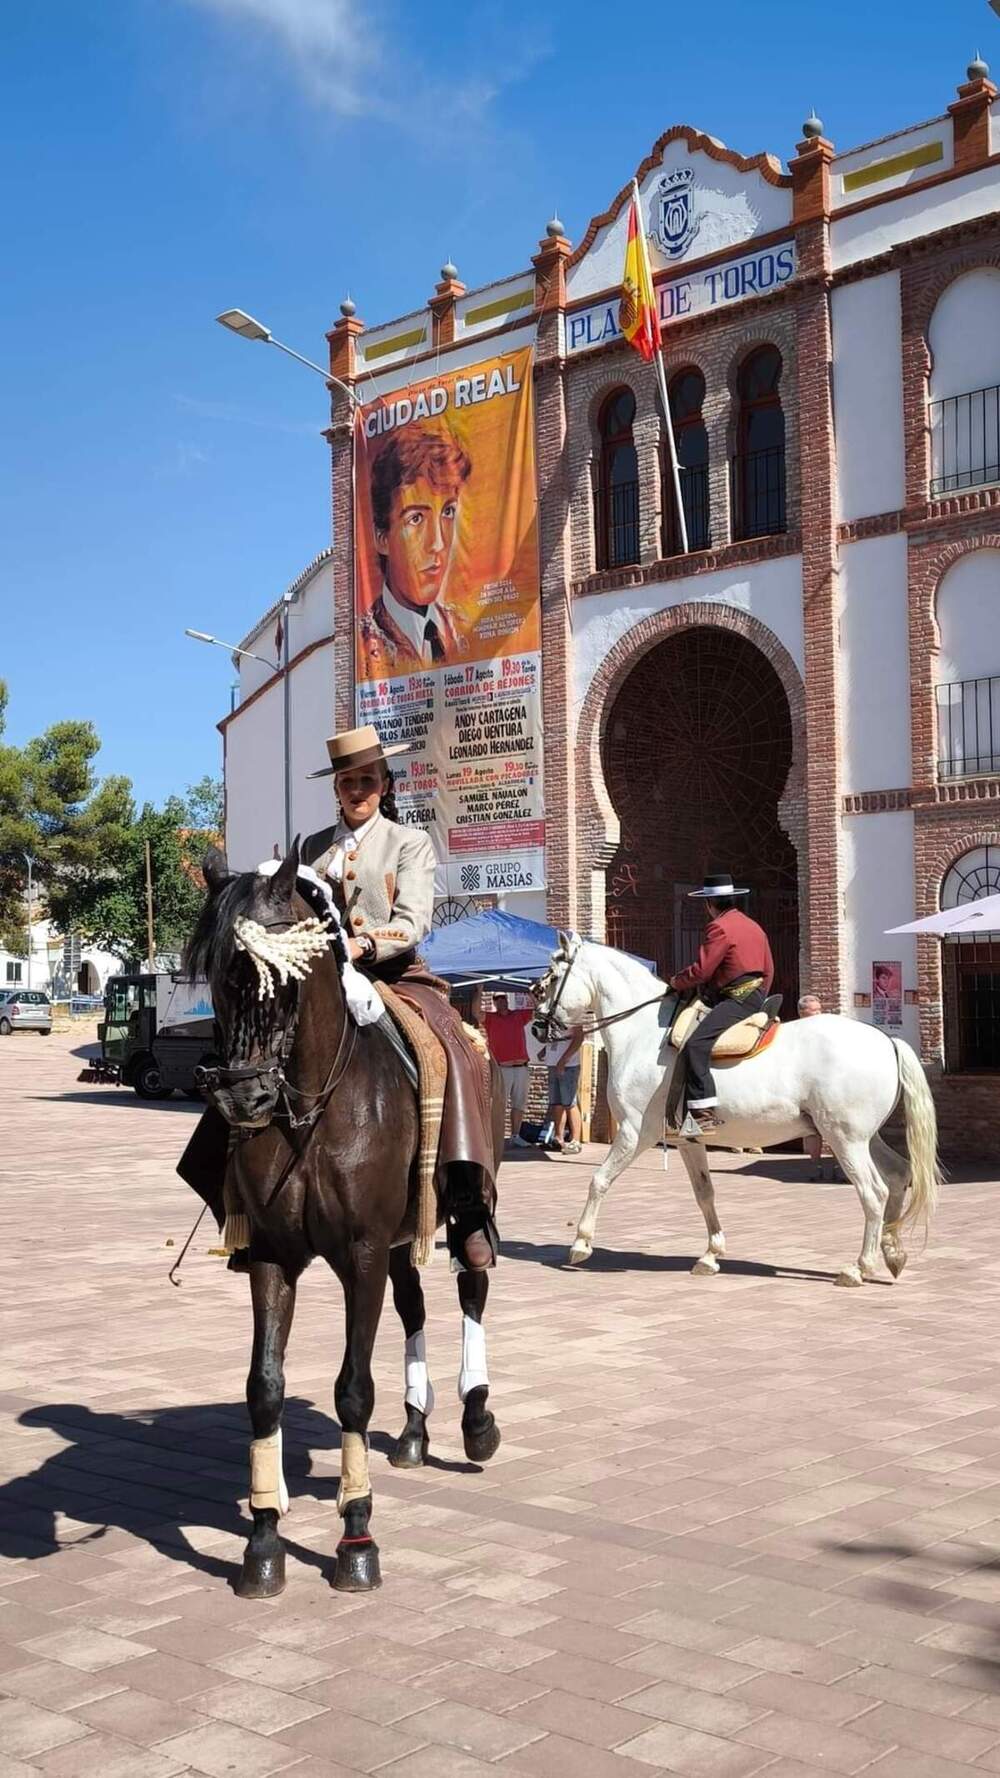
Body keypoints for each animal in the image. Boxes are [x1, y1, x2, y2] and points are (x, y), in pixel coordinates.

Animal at [180, 842, 498, 1600]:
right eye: (215, 978)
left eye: (283, 980)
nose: (241, 1099)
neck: (312, 1113)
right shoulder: (272, 1254)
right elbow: (264, 1389)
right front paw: (263, 1539)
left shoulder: (360, 1252)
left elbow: (353, 1390)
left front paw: (356, 1536)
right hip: (403, 1235)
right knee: (414, 1305)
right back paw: (414, 1430)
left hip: (462, 1202)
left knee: (471, 1283)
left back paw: (476, 1418)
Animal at [533, 931, 939, 1294]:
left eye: (552, 974)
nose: (537, 1026)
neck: (643, 1036)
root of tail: (886, 1040)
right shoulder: (687, 1142)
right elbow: (705, 1193)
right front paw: (711, 1255)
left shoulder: (635, 1133)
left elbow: (599, 1180)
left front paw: (580, 1244)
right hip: (863, 1138)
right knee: (898, 1175)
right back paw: (893, 1253)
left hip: (845, 1140)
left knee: (873, 1192)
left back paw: (858, 1267)